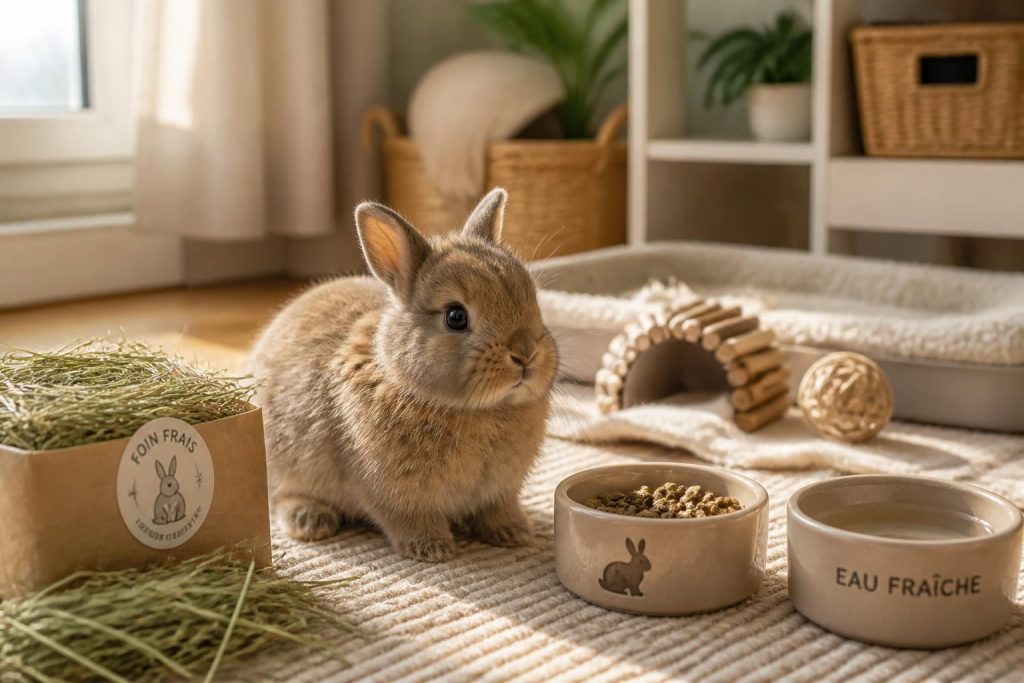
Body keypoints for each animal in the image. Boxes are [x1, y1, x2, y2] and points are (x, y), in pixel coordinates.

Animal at [248, 188, 558, 562]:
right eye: (455, 317)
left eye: (533, 299)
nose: (525, 355)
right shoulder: (389, 493)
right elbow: (407, 519)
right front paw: (432, 549)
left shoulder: (500, 491)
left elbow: (497, 509)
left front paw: (514, 533)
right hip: (285, 464)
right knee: (279, 497)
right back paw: (310, 521)